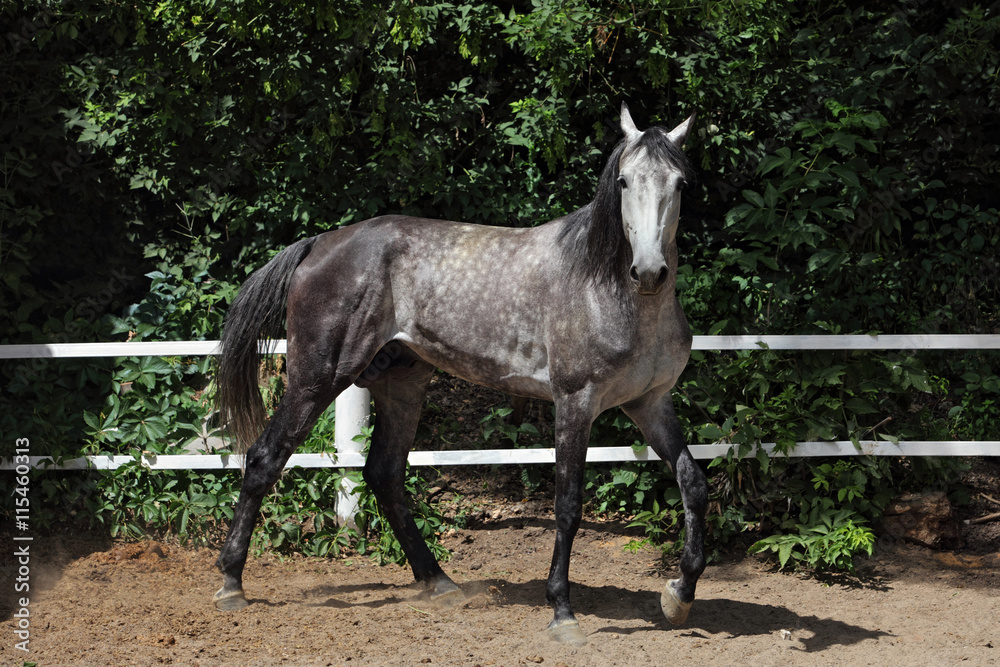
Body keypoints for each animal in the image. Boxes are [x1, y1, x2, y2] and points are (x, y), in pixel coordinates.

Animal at [212, 103, 707, 646]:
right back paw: (231, 585)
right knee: (264, 458)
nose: (649, 272)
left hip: (402, 384)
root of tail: (320, 243)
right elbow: (568, 505)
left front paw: (678, 596)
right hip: (317, 377)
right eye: (623, 180)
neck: (612, 295)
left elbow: (693, 483)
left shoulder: (650, 403)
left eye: (680, 183)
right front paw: (562, 612)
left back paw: (439, 583)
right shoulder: (576, 402)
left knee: (383, 474)